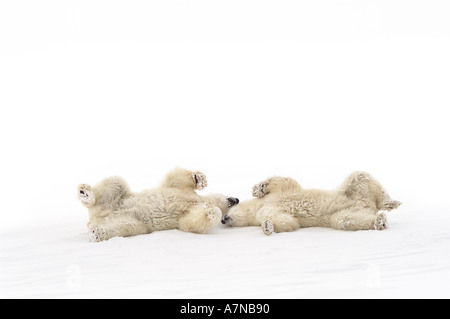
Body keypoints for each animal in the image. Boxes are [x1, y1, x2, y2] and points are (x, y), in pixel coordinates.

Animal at [77, 168, 239, 242]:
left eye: (228, 212)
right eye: (231, 204)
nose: (236, 199)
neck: (197, 200)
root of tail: (95, 217)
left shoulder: (187, 213)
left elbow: (190, 222)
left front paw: (211, 211)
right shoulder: (181, 190)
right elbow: (175, 179)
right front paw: (199, 178)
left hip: (136, 223)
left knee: (123, 226)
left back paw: (96, 233)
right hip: (117, 200)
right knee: (116, 182)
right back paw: (85, 192)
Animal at [221, 171, 400, 236]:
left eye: (226, 210)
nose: (223, 219)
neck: (258, 207)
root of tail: (368, 205)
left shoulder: (278, 195)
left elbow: (284, 181)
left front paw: (259, 188)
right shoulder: (267, 210)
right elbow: (287, 221)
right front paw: (267, 226)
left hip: (352, 192)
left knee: (359, 176)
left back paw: (390, 203)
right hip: (343, 214)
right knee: (347, 220)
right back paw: (379, 221)